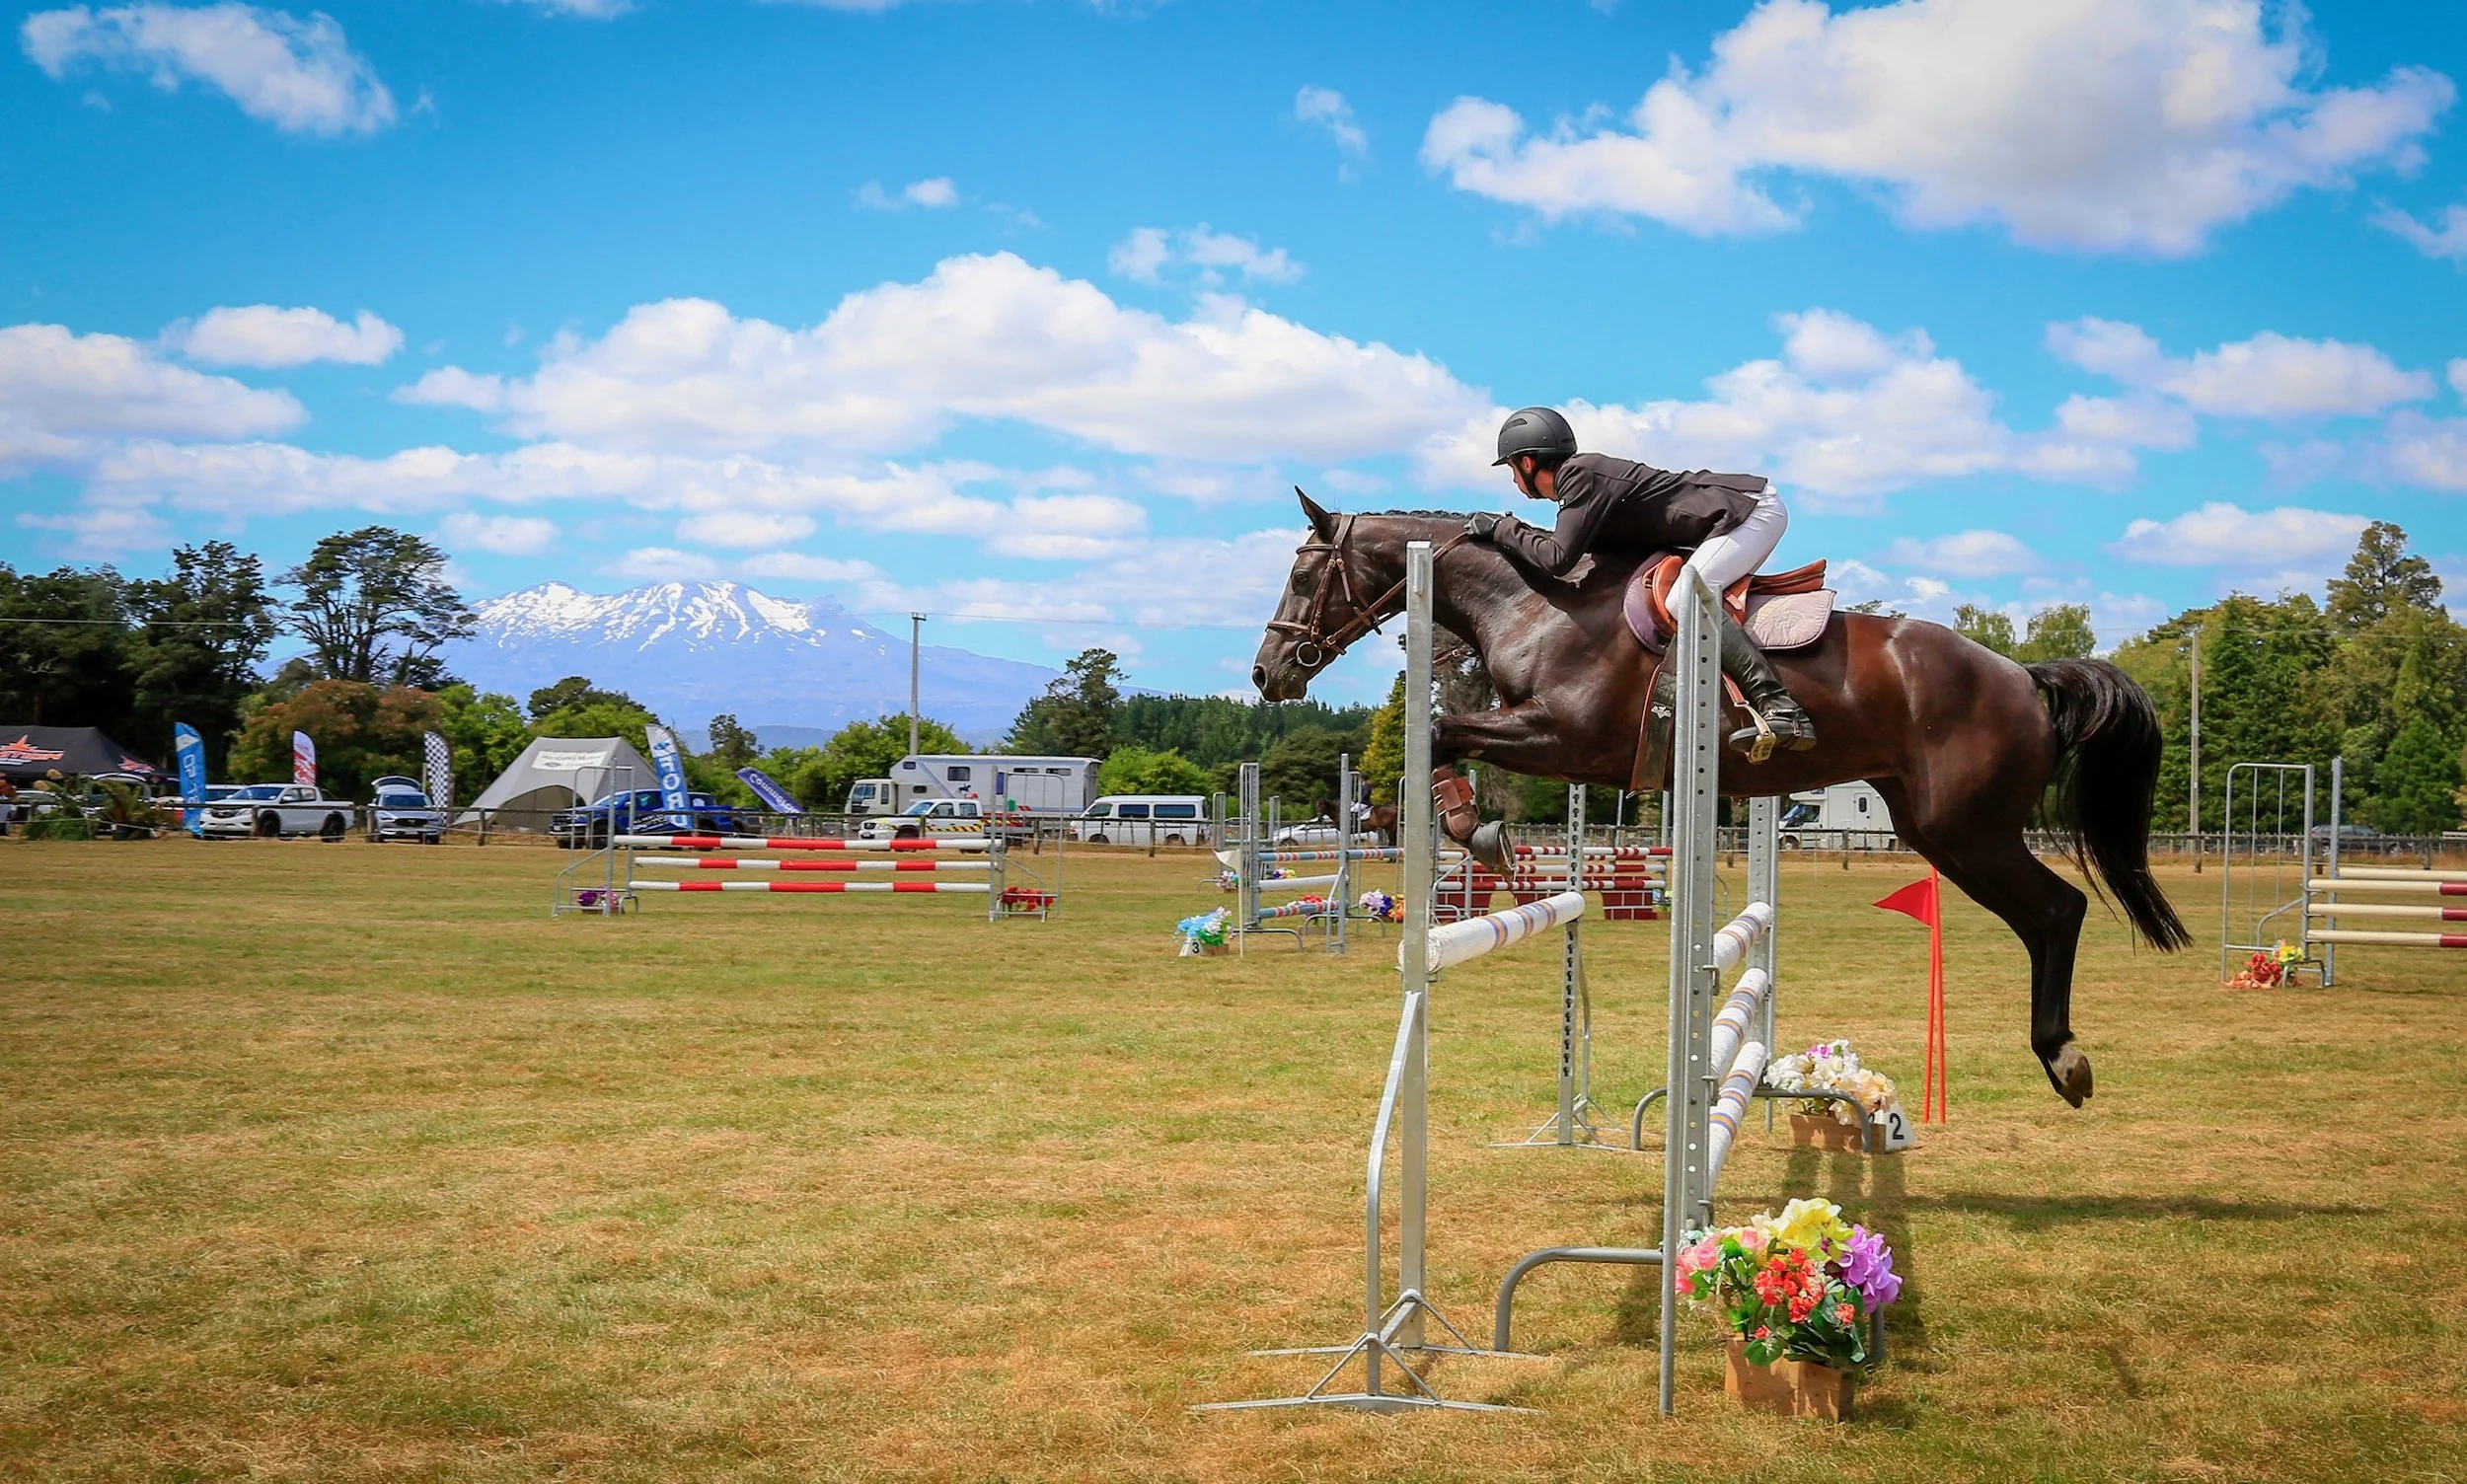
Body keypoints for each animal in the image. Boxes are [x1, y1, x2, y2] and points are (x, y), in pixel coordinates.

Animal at [1251, 494, 2188, 1108]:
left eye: (1301, 572)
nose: (1268, 674)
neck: (1534, 600)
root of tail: (2024, 675)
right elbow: (1445, 744)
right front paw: (1467, 831)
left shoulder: (1566, 736)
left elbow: (1445, 735)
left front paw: (1467, 829)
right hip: (1937, 827)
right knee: (2045, 915)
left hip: (1966, 828)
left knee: (2057, 911)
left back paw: (2063, 1059)